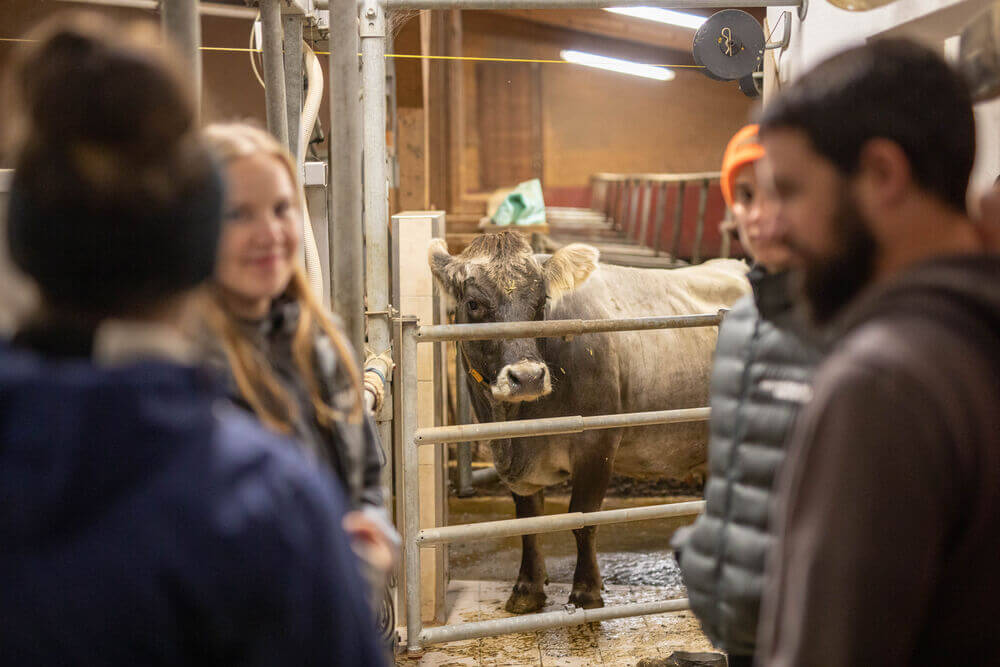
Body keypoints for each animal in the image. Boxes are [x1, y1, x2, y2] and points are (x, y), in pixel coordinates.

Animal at [430, 231, 752, 616]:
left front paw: (586, 591)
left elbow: (582, 519)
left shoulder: (597, 445)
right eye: (475, 303)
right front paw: (527, 588)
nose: (528, 377)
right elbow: (528, 520)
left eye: (541, 301)